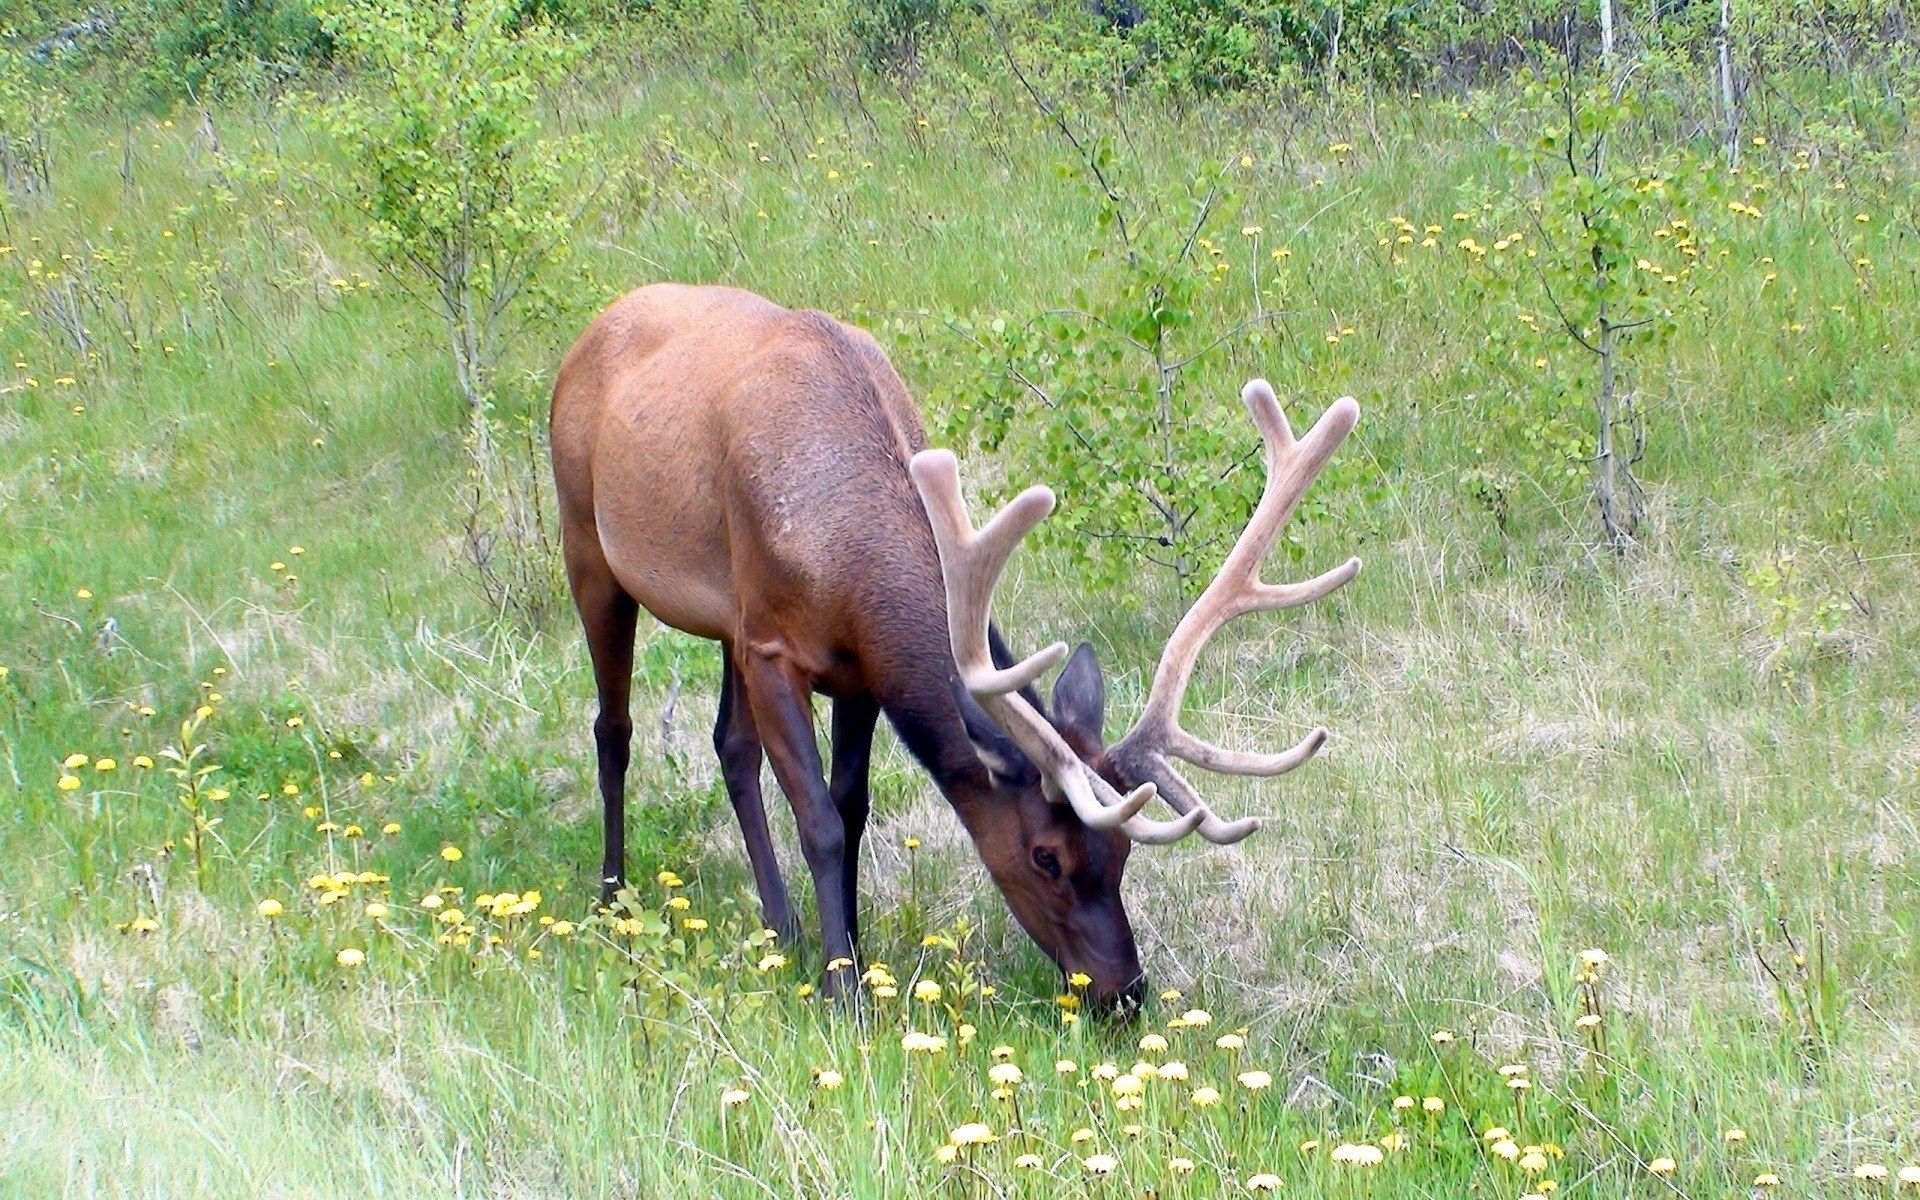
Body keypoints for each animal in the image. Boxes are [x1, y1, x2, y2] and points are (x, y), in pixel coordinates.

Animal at [550, 283, 1360, 1006]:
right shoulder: (772, 645)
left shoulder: (851, 669)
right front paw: (845, 994)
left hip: (723, 621)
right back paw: (612, 896)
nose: (1125, 992)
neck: (844, 558)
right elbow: (819, 823)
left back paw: (783, 929)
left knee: (729, 744)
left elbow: (850, 807)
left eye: (1124, 853)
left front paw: (850, 954)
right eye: (1046, 856)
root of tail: (592, 328)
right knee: (613, 728)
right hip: (589, 546)